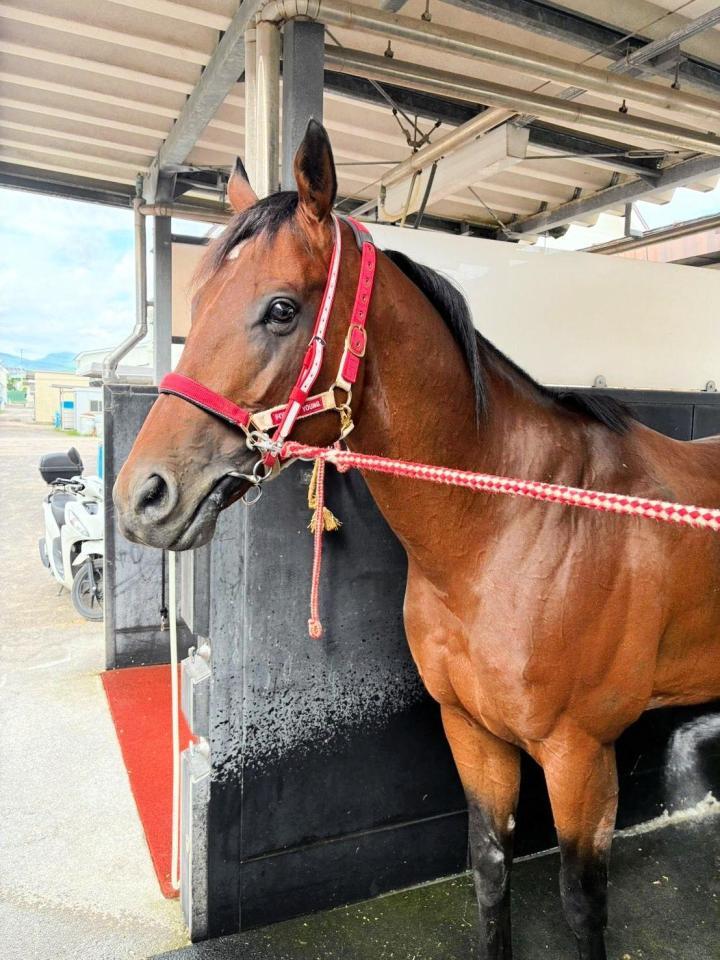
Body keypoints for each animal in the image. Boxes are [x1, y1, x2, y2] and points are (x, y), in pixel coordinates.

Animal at [114, 120, 720, 960]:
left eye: (280, 309)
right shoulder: (470, 731)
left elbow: (581, 903)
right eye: (196, 302)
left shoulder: (579, 755)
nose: (144, 496)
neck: (515, 527)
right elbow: (489, 869)